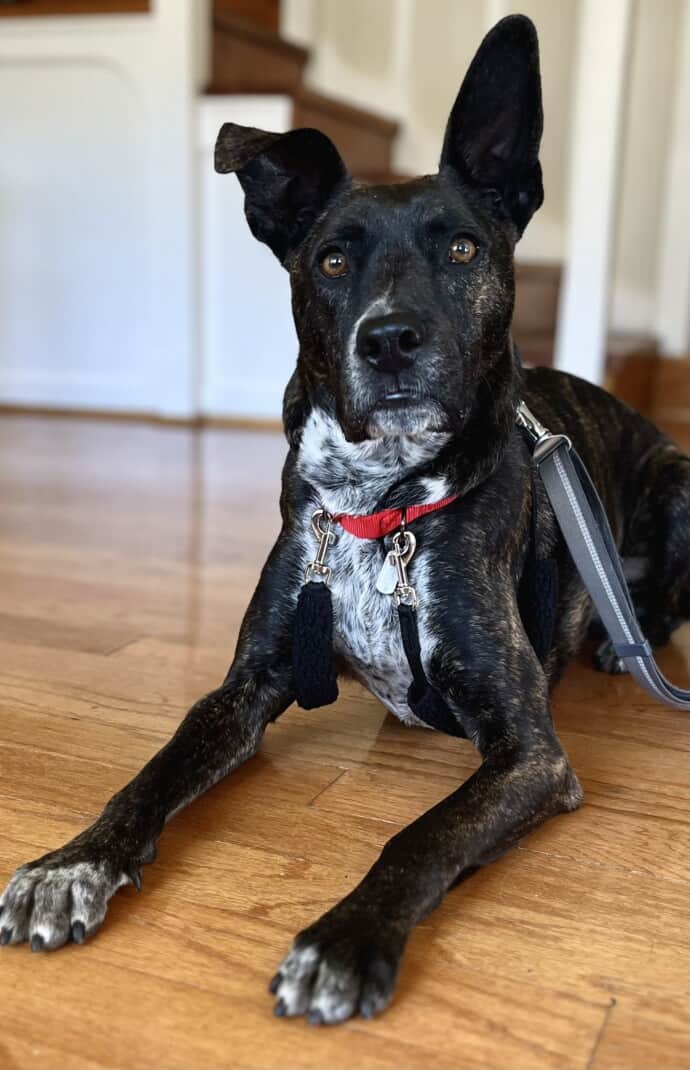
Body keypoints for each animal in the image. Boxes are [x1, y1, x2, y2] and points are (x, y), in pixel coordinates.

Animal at [1, 10, 688, 1027]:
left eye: (462, 251)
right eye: (331, 261)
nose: (391, 339)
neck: (380, 504)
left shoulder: (530, 751)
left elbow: (421, 834)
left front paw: (344, 940)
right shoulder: (243, 688)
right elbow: (154, 770)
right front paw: (73, 864)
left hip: (679, 478)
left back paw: (621, 638)